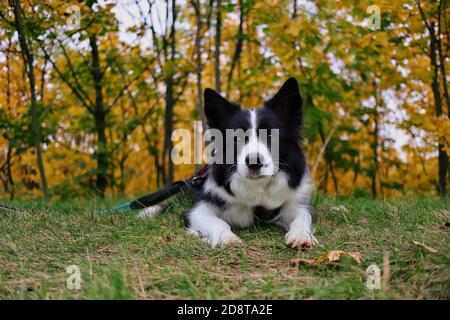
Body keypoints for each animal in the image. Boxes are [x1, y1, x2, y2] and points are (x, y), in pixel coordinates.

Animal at [141, 77, 316, 250]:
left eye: (271, 136)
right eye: (236, 138)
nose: (254, 162)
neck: (257, 187)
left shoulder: (293, 204)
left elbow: (303, 215)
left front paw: (301, 235)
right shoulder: (198, 210)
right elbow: (217, 221)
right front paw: (226, 238)